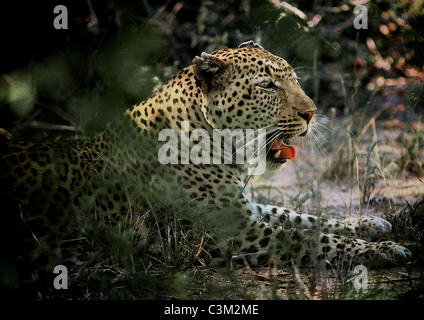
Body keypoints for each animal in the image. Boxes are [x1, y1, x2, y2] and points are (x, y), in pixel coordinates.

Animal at [0, 40, 410, 298]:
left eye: (292, 78)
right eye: (268, 85)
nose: (311, 113)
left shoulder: (244, 209)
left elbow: (303, 217)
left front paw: (371, 224)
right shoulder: (233, 229)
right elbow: (309, 238)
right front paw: (383, 250)